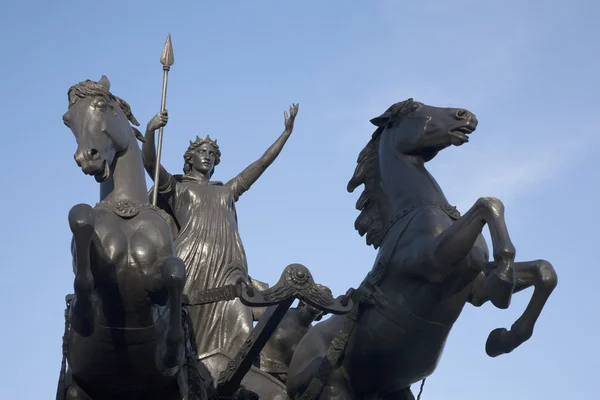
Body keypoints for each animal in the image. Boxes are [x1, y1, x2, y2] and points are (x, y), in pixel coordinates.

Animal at [59, 76, 195, 398]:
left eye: (102, 105)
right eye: (68, 120)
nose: (87, 159)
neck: (126, 209)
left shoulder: (155, 285)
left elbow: (174, 272)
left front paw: (173, 348)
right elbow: (80, 217)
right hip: (76, 390)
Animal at [286, 99, 556, 400]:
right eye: (414, 108)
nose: (466, 116)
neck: (417, 209)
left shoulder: (474, 288)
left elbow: (544, 271)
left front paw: (502, 339)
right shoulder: (435, 261)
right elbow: (489, 204)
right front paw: (503, 283)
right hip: (333, 388)